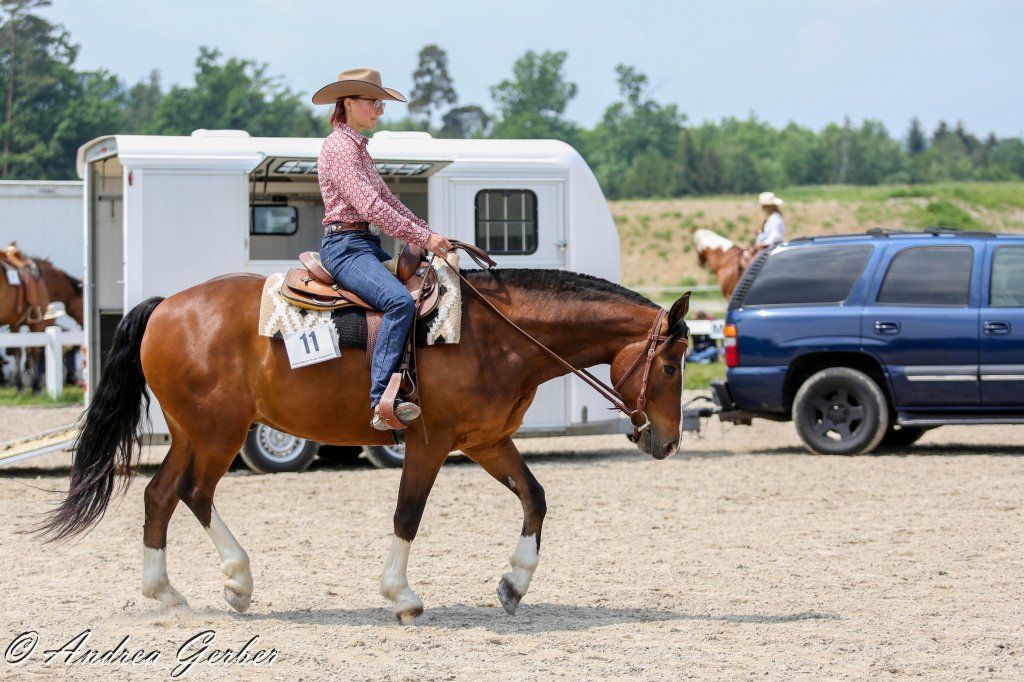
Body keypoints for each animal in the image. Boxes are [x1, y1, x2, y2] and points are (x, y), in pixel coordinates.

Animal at [37, 264, 691, 624]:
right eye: (671, 364)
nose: (667, 442)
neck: (495, 337)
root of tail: (165, 307)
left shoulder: (487, 441)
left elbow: (535, 497)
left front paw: (513, 586)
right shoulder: (429, 443)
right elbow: (408, 514)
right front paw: (401, 595)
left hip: (192, 432)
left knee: (161, 495)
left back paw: (168, 592)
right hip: (218, 433)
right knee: (194, 493)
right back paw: (237, 580)